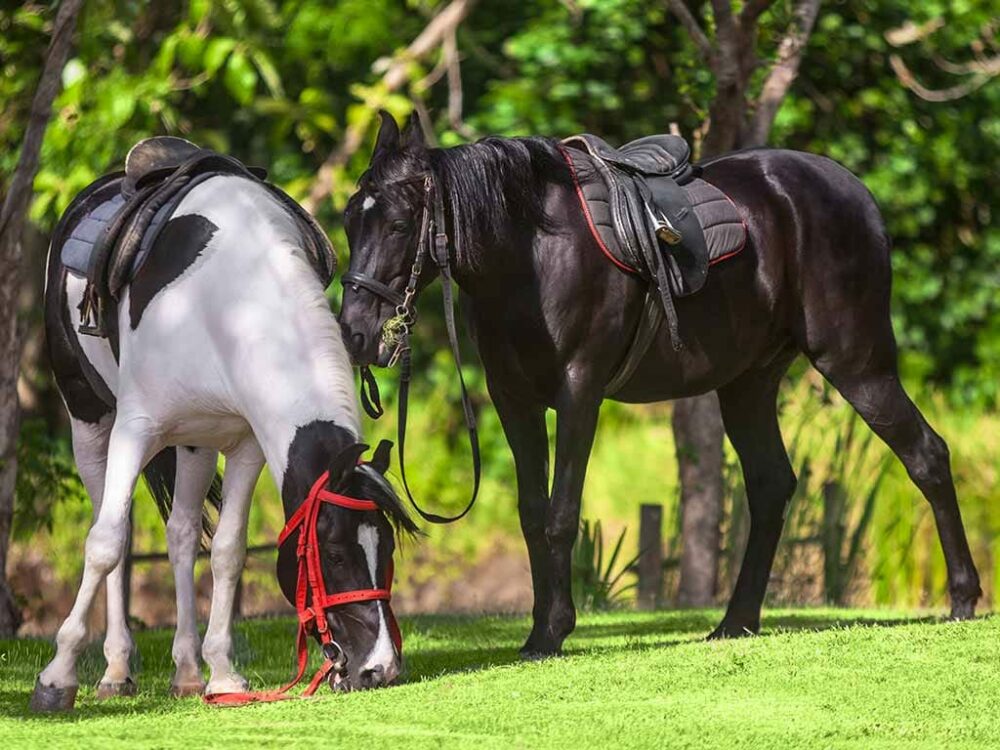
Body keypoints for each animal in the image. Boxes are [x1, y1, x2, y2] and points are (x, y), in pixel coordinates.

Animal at [37, 163, 414, 712]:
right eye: (335, 554)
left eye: (385, 549)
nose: (379, 668)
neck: (226, 303)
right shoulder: (135, 428)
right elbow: (105, 543)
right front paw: (56, 677)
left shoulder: (244, 446)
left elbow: (228, 551)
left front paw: (222, 675)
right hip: (90, 422)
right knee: (115, 535)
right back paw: (116, 669)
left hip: (195, 441)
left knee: (181, 535)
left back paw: (187, 671)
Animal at [340, 111, 980, 656]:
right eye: (349, 220)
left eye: (399, 223)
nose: (354, 332)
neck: (534, 254)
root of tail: (857, 194)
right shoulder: (513, 401)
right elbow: (531, 512)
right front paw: (538, 632)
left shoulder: (579, 394)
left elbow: (561, 514)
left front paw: (554, 631)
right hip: (748, 384)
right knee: (772, 485)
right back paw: (735, 622)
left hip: (857, 363)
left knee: (926, 455)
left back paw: (963, 599)